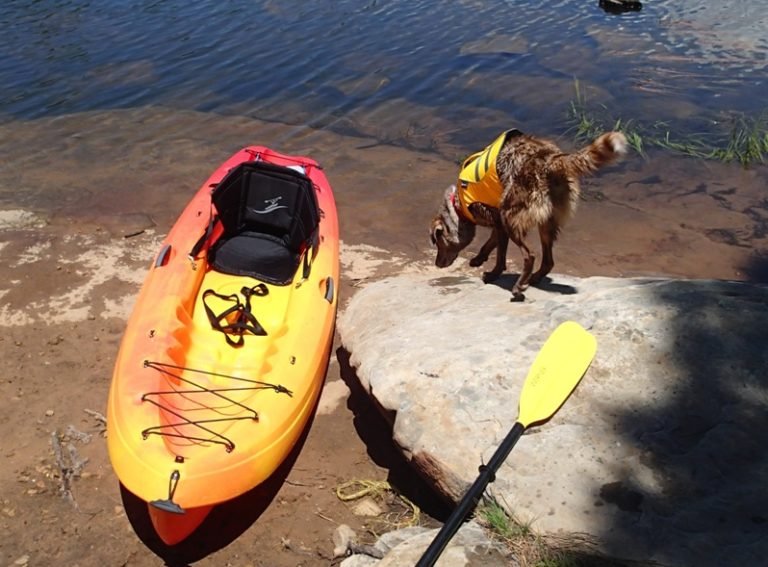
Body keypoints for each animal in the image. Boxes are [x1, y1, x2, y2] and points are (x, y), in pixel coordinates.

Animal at [428, 129, 628, 302]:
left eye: (438, 242)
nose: (436, 264)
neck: (458, 204)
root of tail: (550, 160)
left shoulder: (499, 220)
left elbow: (500, 256)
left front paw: (493, 273)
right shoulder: (498, 223)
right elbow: (489, 244)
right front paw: (479, 259)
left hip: (511, 215)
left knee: (529, 256)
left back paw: (518, 287)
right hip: (547, 222)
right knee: (548, 261)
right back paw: (533, 278)